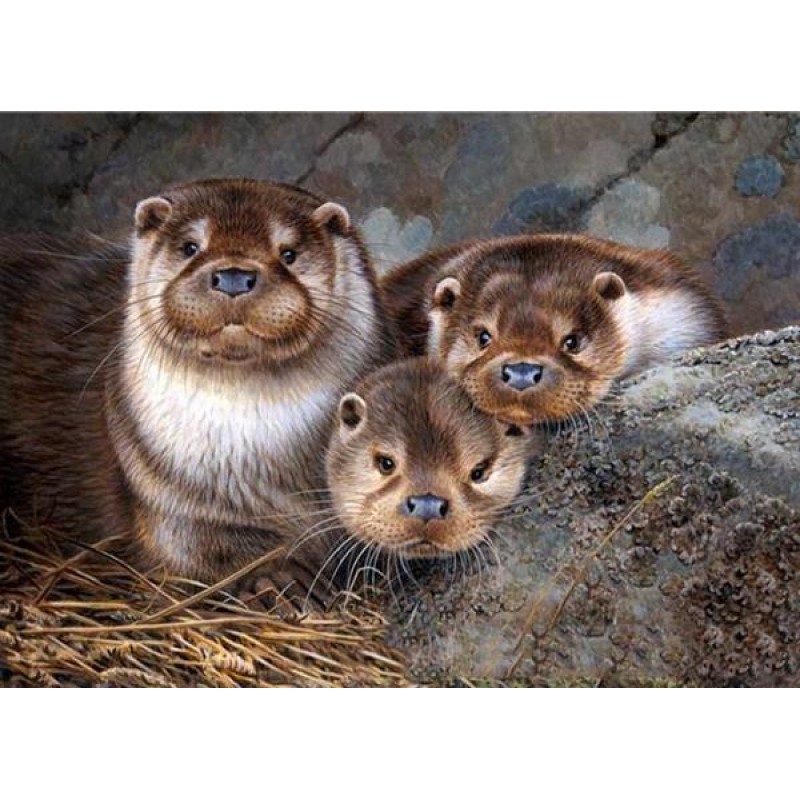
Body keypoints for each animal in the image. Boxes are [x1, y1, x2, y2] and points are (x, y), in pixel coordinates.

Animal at [0, 178, 393, 596]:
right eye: (190, 247)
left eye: (288, 253)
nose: (234, 276)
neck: (256, 461)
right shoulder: (164, 497)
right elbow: (201, 547)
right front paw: (276, 575)